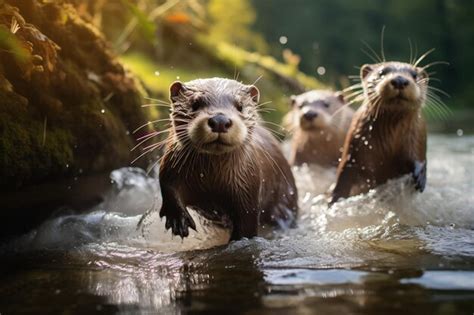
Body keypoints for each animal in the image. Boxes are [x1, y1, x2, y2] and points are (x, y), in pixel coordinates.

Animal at [157, 78, 296, 241]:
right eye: (195, 103)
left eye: (240, 106)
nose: (219, 120)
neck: (212, 183)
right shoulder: (171, 166)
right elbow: (169, 186)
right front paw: (178, 219)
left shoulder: (248, 191)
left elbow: (246, 227)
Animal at [332, 62, 428, 205]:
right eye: (382, 72)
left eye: (415, 75)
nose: (400, 80)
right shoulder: (352, 153)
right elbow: (342, 181)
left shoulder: (418, 138)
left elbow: (419, 158)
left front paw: (420, 175)